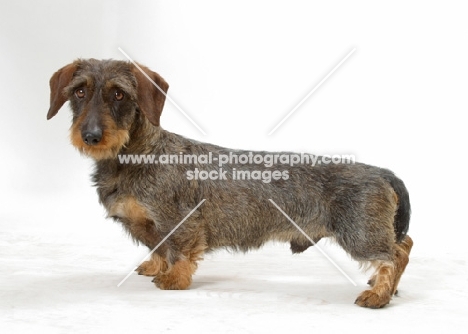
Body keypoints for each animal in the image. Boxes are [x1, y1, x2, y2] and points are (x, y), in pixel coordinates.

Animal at [47, 59, 414, 308]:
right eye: (79, 91)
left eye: (119, 94)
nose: (91, 136)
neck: (136, 154)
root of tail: (381, 171)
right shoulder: (148, 225)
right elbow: (158, 247)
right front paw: (155, 266)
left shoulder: (180, 221)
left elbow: (179, 251)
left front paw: (173, 279)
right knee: (403, 244)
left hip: (359, 234)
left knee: (397, 252)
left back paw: (378, 294)